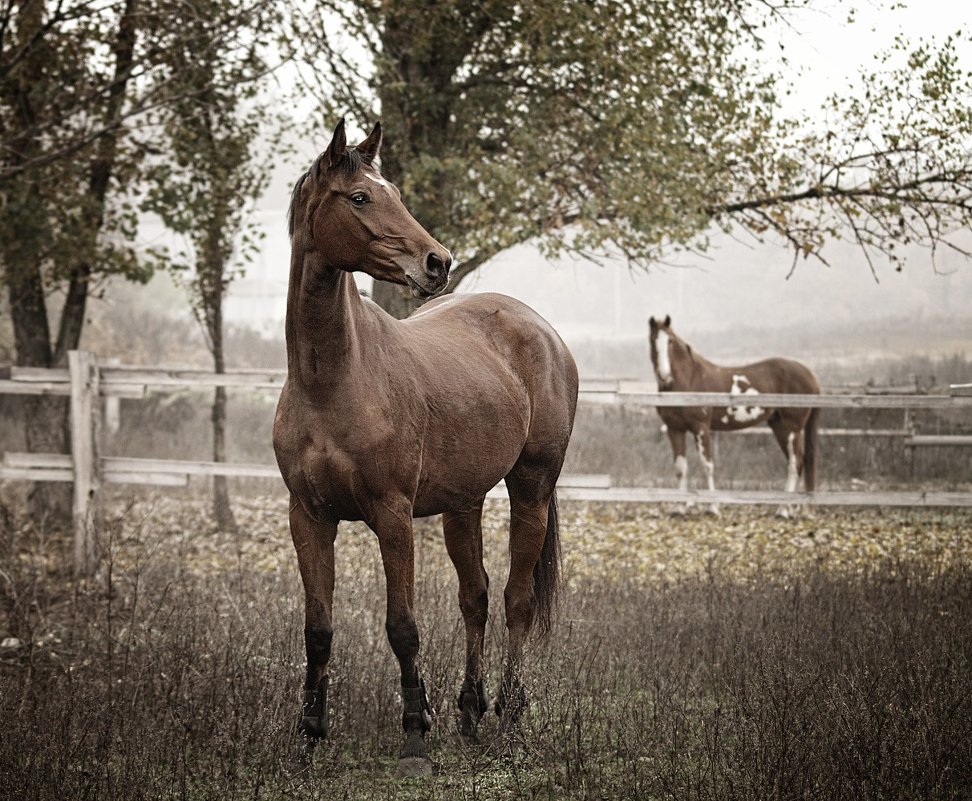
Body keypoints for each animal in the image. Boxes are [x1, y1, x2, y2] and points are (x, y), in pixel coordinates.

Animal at [274, 120, 576, 776]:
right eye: (361, 196)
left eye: (395, 193)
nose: (437, 263)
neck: (333, 380)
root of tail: (539, 328)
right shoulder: (307, 517)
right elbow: (318, 629)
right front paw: (308, 736)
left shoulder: (392, 516)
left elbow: (402, 625)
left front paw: (415, 735)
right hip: (464, 502)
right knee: (476, 597)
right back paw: (469, 711)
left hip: (531, 487)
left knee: (515, 600)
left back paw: (508, 716)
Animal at [648, 314, 816, 512]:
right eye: (652, 340)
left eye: (670, 342)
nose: (665, 378)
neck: (688, 380)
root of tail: (809, 374)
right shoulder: (675, 429)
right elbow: (681, 468)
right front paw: (680, 508)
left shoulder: (701, 428)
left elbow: (707, 466)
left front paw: (713, 507)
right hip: (779, 426)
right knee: (797, 463)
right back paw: (790, 507)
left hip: (792, 429)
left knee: (794, 463)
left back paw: (783, 510)